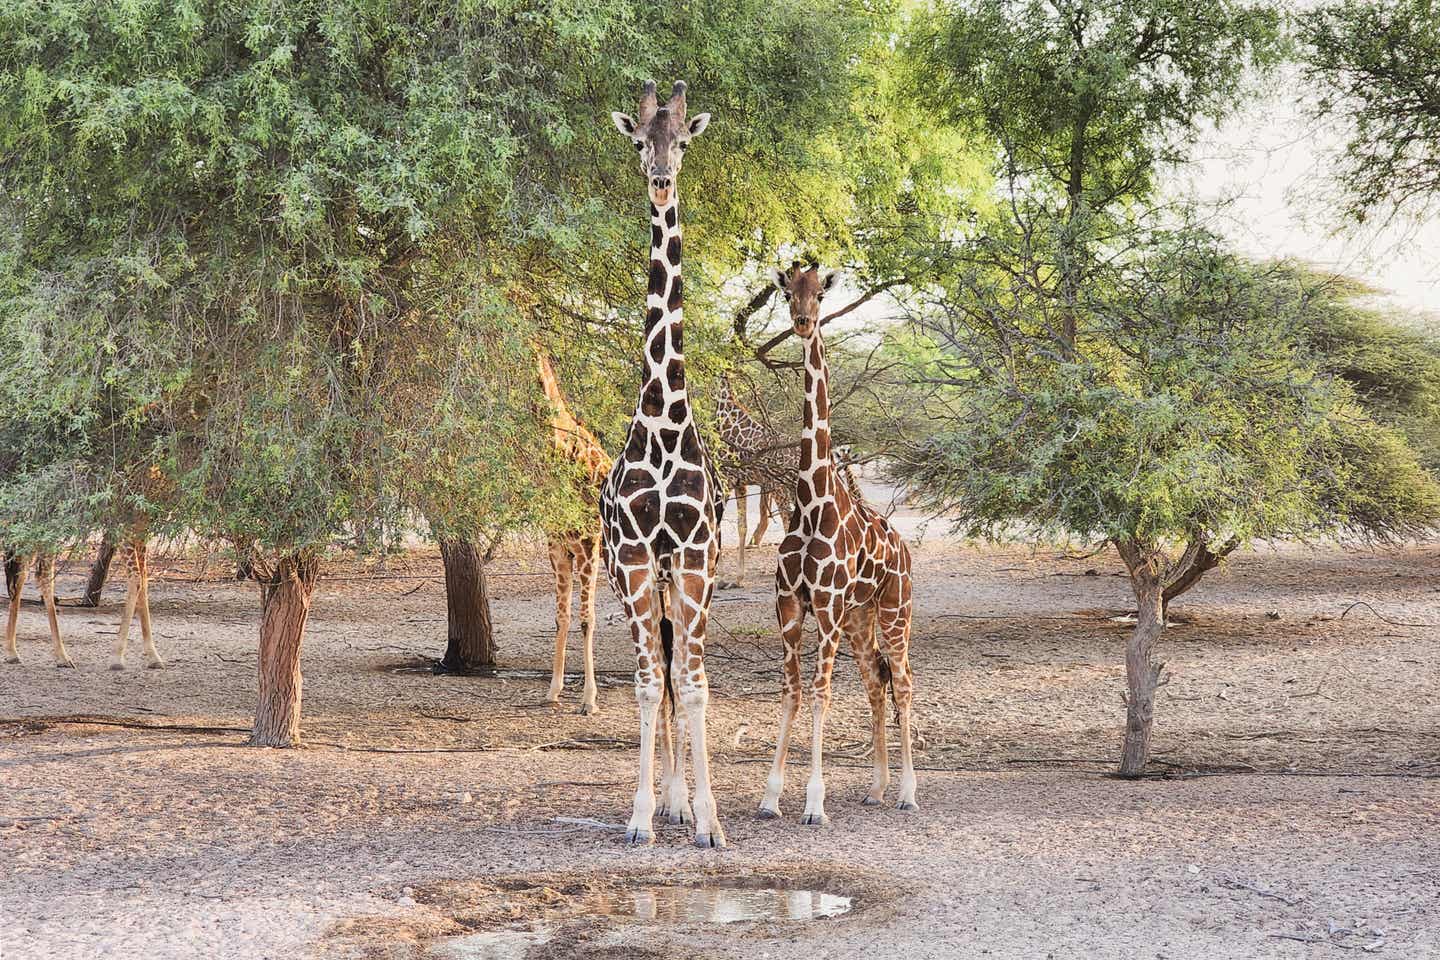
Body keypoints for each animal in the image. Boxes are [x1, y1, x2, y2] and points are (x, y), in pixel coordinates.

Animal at [717, 379, 800, 590]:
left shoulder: (725, 480)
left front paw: (721, 578)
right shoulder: (740, 484)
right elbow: (742, 526)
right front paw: (738, 578)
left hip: (780, 487)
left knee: (788, 521)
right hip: (792, 486)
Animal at [754, 263, 921, 829]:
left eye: (820, 294)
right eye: (788, 290)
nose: (803, 322)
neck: (810, 503)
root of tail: (905, 550)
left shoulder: (824, 607)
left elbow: (821, 694)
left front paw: (814, 803)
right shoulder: (789, 606)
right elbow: (792, 691)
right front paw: (769, 799)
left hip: (894, 611)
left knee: (904, 682)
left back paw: (908, 793)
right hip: (860, 619)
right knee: (876, 680)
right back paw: (876, 789)